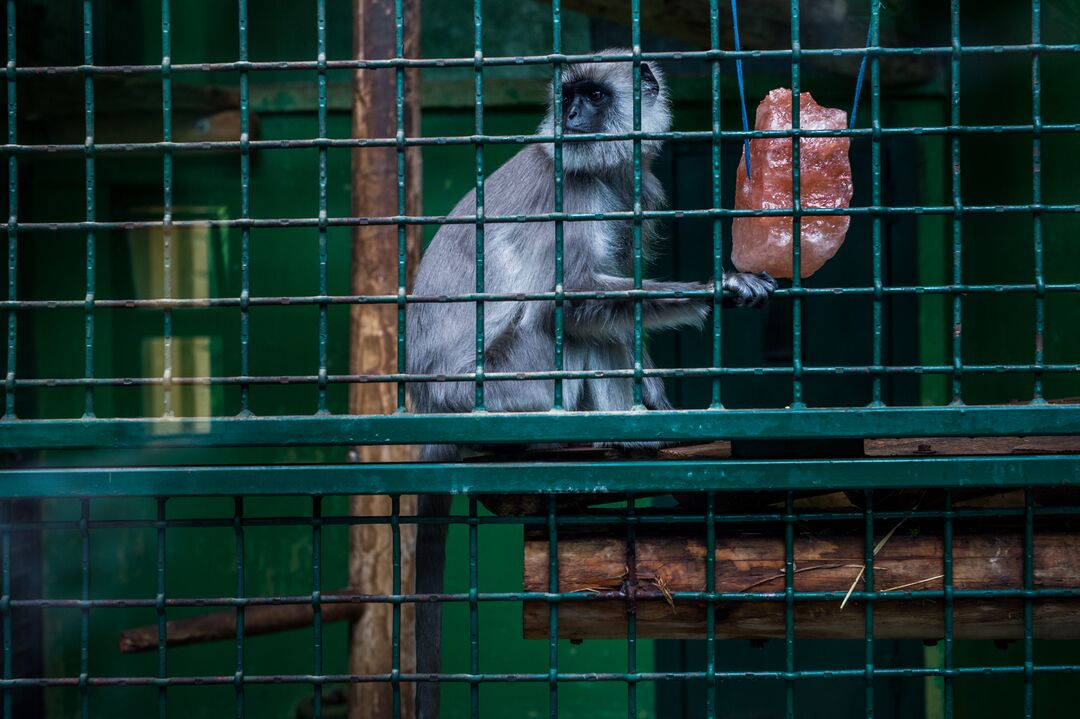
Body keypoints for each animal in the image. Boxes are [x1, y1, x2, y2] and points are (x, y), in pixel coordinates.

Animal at [406, 47, 777, 712]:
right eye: (570, 97)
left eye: (593, 97)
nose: (574, 116)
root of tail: (428, 404)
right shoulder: (576, 191)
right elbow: (575, 300)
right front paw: (723, 285)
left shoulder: (630, 188)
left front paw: (658, 400)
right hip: (498, 387)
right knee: (568, 327)